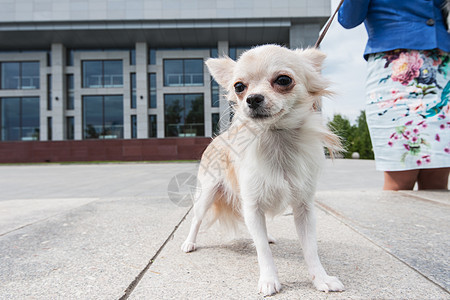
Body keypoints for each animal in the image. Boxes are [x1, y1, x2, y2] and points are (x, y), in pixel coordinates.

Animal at [181, 44, 342, 296]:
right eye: (239, 87)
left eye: (283, 80)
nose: (253, 98)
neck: (277, 138)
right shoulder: (252, 204)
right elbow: (262, 252)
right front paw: (268, 279)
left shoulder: (304, 208)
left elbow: (310, 248)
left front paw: (321, 278)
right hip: (207, 193)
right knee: (197, 219)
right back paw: (190, 242)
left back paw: (267, 237)